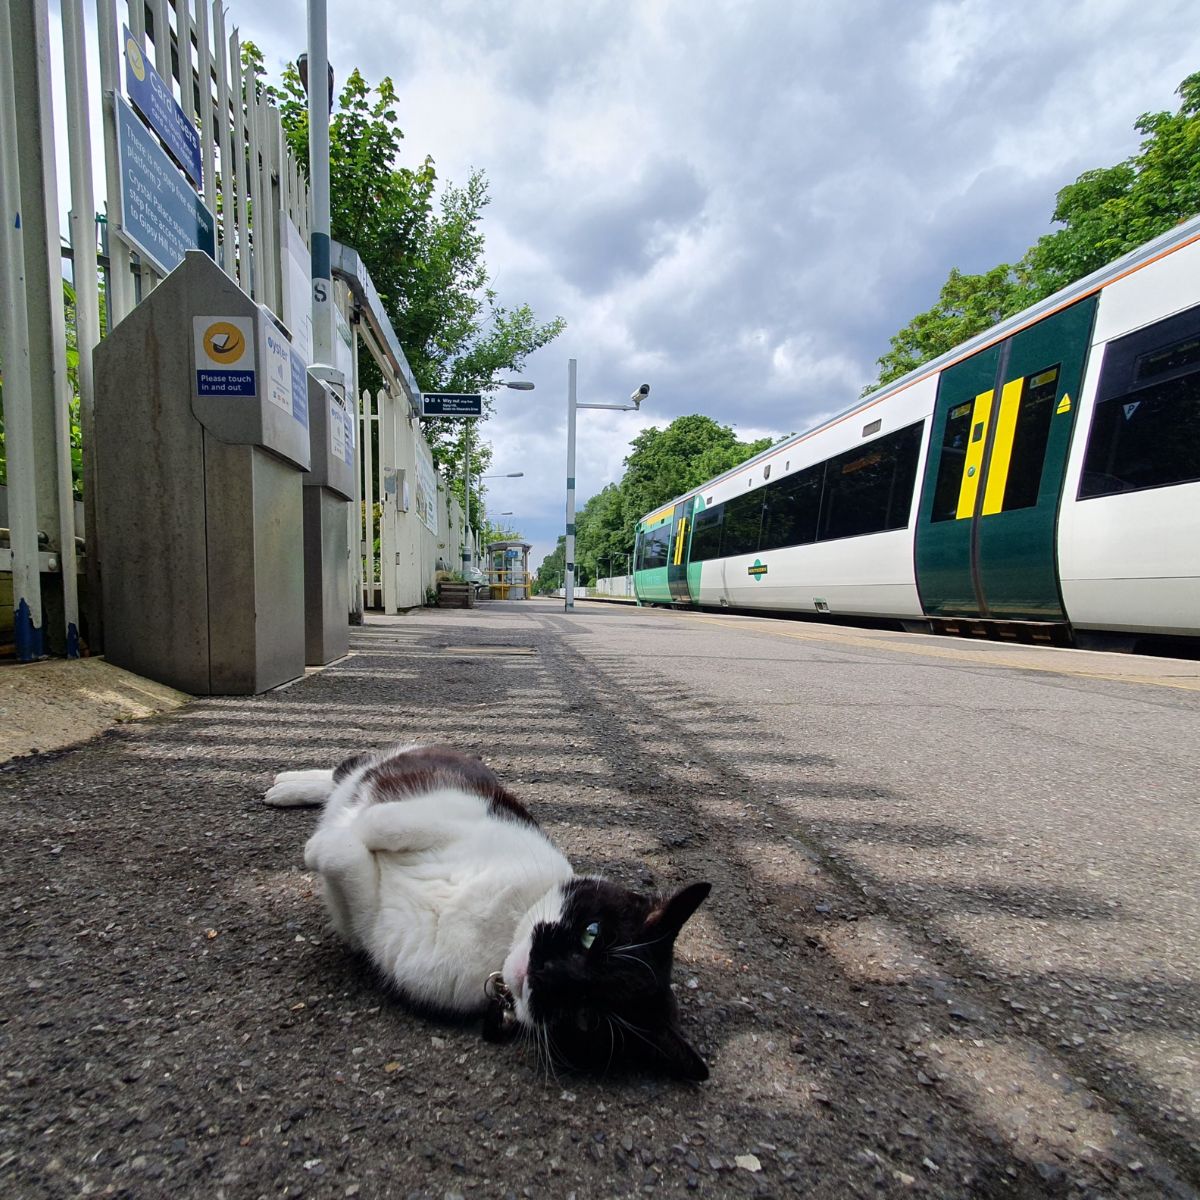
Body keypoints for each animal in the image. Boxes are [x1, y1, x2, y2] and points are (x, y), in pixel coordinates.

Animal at [265, 739, 710, 1080]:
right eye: (592, 933)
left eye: (587, 1017)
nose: (544, 971)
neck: (501, 930)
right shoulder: (464, 811)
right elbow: (384, 822)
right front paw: (341, 828)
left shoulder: (368, 926)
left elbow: (343, 861)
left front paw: (324, 844)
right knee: (349, 773)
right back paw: (290, 786)